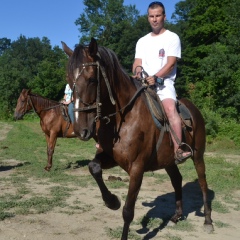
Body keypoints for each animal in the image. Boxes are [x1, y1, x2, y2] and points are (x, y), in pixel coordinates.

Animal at [62, 38, 214, 239]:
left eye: (92, 79)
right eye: (69, 81)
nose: (81, 130)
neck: (125, 116)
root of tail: (194, 109)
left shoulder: (137, 168)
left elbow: (128, 211)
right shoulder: (112, 158)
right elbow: (93, 167)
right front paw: (112, 201)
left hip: (198, 156)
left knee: (203, 184)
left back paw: (208, 221)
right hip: (169, 161)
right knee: (177, 180)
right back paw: (177, 215)